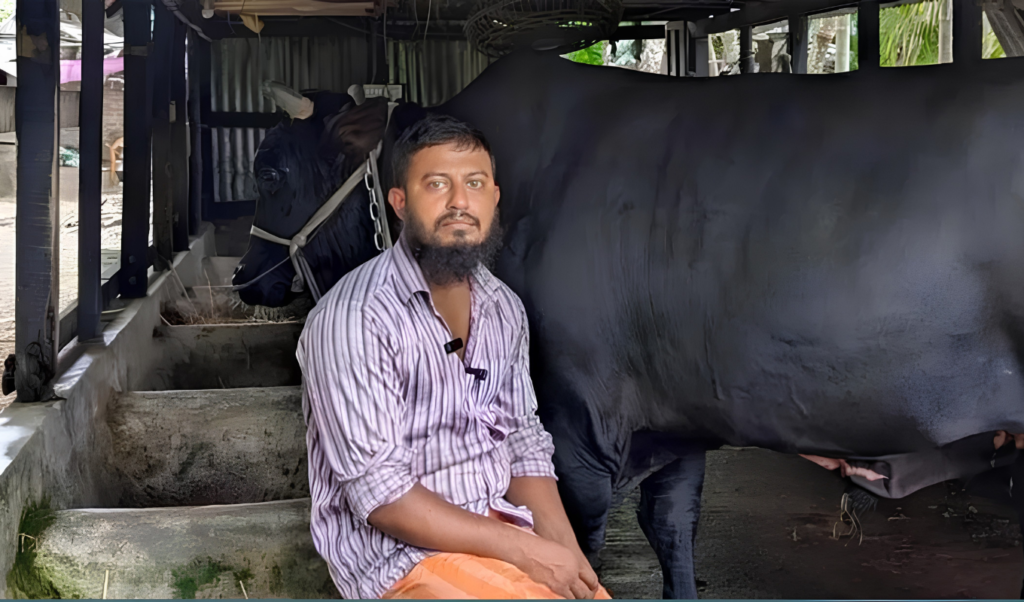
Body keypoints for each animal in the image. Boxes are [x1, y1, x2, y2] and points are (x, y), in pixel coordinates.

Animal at [233, 50, 1024, 598]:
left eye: (270, 171)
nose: (244, 278)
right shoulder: (678, 421)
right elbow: (672, 531)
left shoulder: (571, 424)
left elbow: (579, 543)